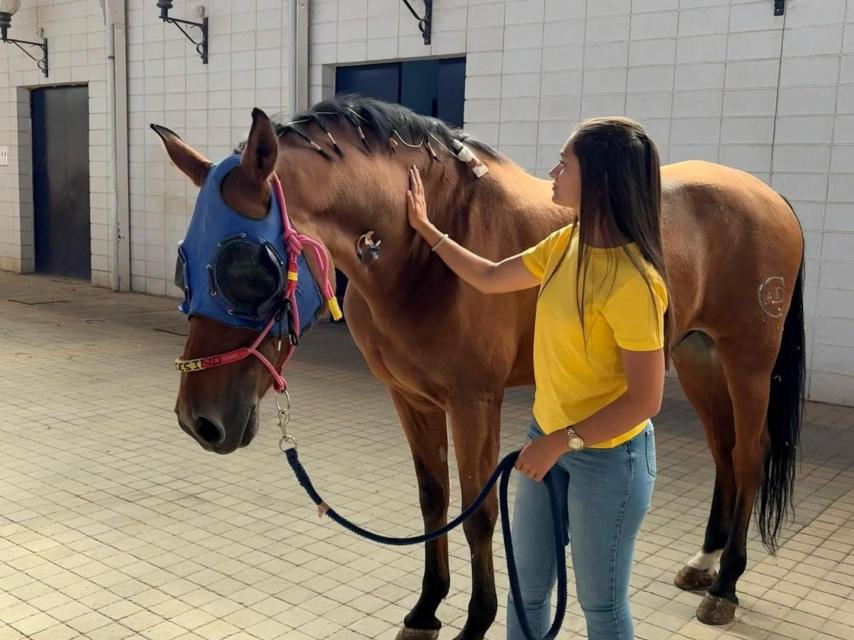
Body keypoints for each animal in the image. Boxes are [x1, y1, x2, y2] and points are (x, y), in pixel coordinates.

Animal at [152, 95, 805, 638]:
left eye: (246, 267)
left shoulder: (474, 402)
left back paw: (726, 585)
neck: (420, 253)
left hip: (747, 360)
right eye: (184, 261)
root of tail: (771, 198)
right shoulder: (411, 399)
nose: (199, 421)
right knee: (724, 451)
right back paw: (704, 563)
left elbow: (479, 514)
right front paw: (425, 609)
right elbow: (434, 500)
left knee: (750, 453)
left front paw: (476, 620)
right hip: (696, 356)